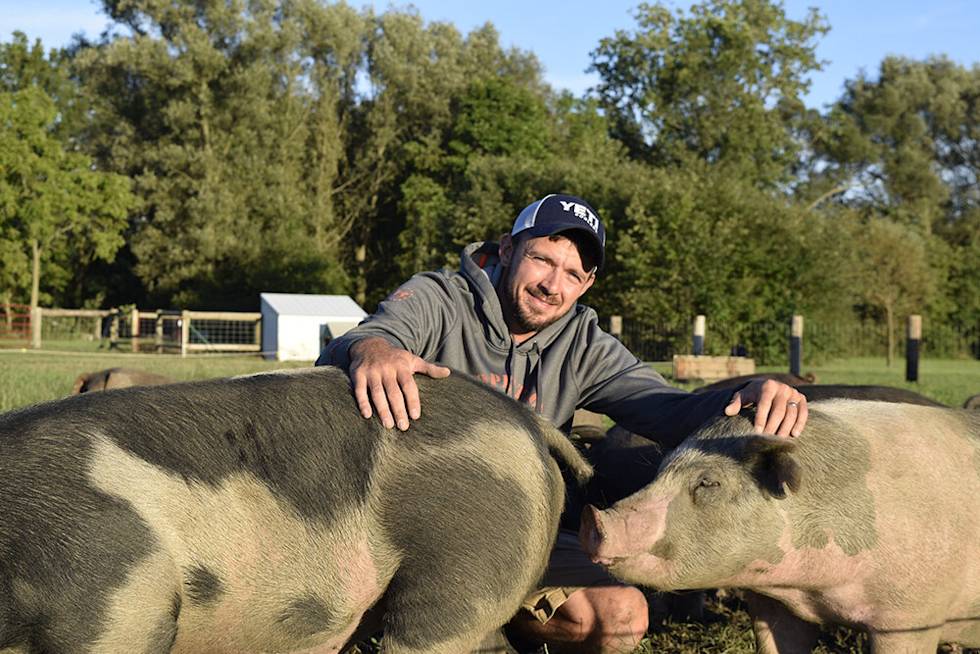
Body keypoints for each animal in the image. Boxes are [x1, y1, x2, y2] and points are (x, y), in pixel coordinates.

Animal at [581, 400, 980, 653]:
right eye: (661, 470)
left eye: (709, 482)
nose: (593, 517)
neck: (812, 590)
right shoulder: (774, 608)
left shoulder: (911, 616)